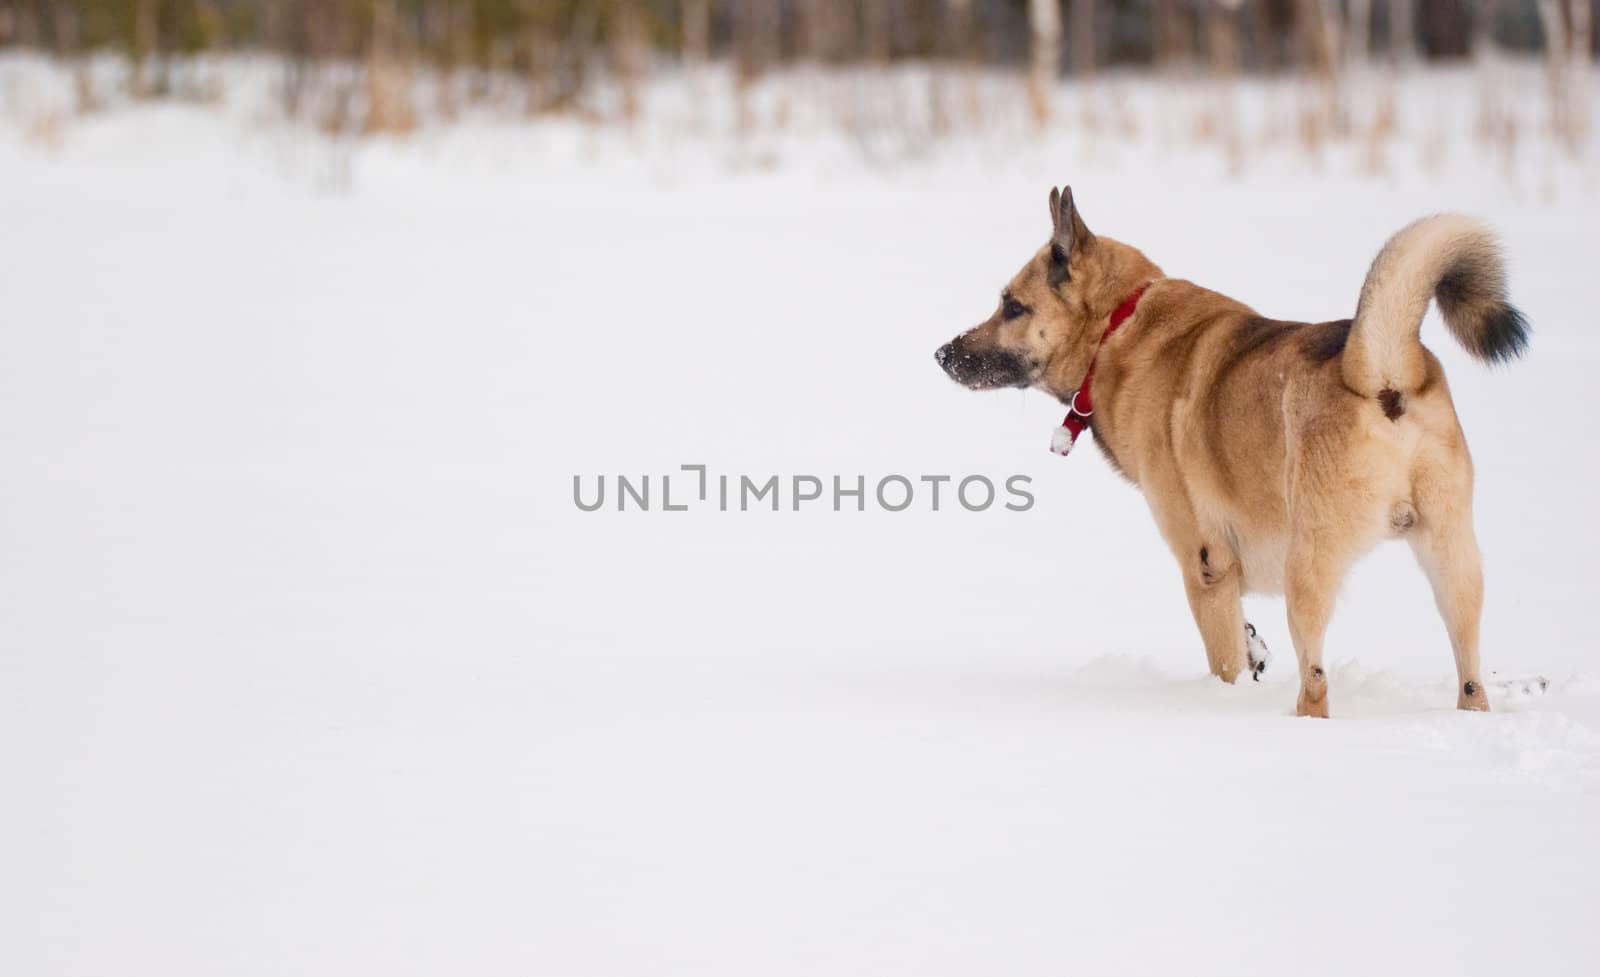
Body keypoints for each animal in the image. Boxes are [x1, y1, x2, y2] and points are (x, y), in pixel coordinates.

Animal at [934, 187, 1529, 716]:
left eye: (1013, 306)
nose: (942, 353)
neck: (1118, 328)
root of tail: (1382, 374)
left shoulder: (1206, 567)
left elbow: (1226, 662)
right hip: (1453, 560)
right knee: (1471, 677)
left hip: (1306, 568)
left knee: (1317, 682)